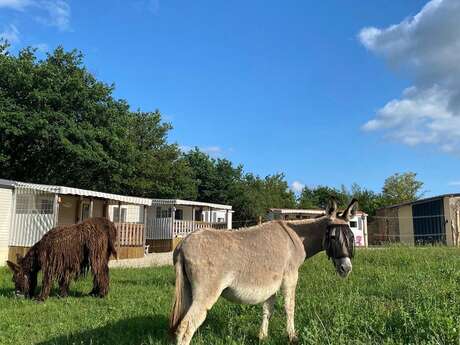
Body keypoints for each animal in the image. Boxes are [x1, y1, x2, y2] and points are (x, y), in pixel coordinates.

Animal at [171, 198, 358, 342]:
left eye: (351, 237)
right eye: (332, 237)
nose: (346, 268)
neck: (296, 238)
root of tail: (182, 244)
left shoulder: (272, 283)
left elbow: (268, 310)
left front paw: (262, 336)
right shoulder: (290, 277)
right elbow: (289, 307)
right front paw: (292, 337)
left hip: (187, 291)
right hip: (206, 293)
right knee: (186, 327)